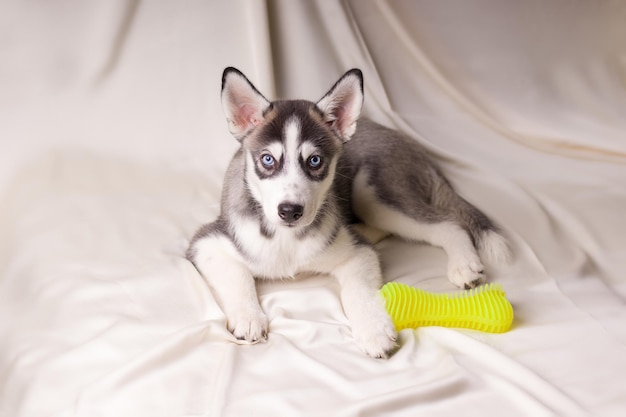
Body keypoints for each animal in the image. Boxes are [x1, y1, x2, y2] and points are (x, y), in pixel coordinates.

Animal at [185, 68, 508, 358]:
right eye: (267, 159)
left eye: (315, 161)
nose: (290, 211)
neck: (286, 239)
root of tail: (412, 145)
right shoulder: (207, 242)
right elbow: (237, 276)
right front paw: (249, 317)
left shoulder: (357, 253)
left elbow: (358, 292)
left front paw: (374, 330)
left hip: (373, 191)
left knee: (448, 223)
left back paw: (463, 264)